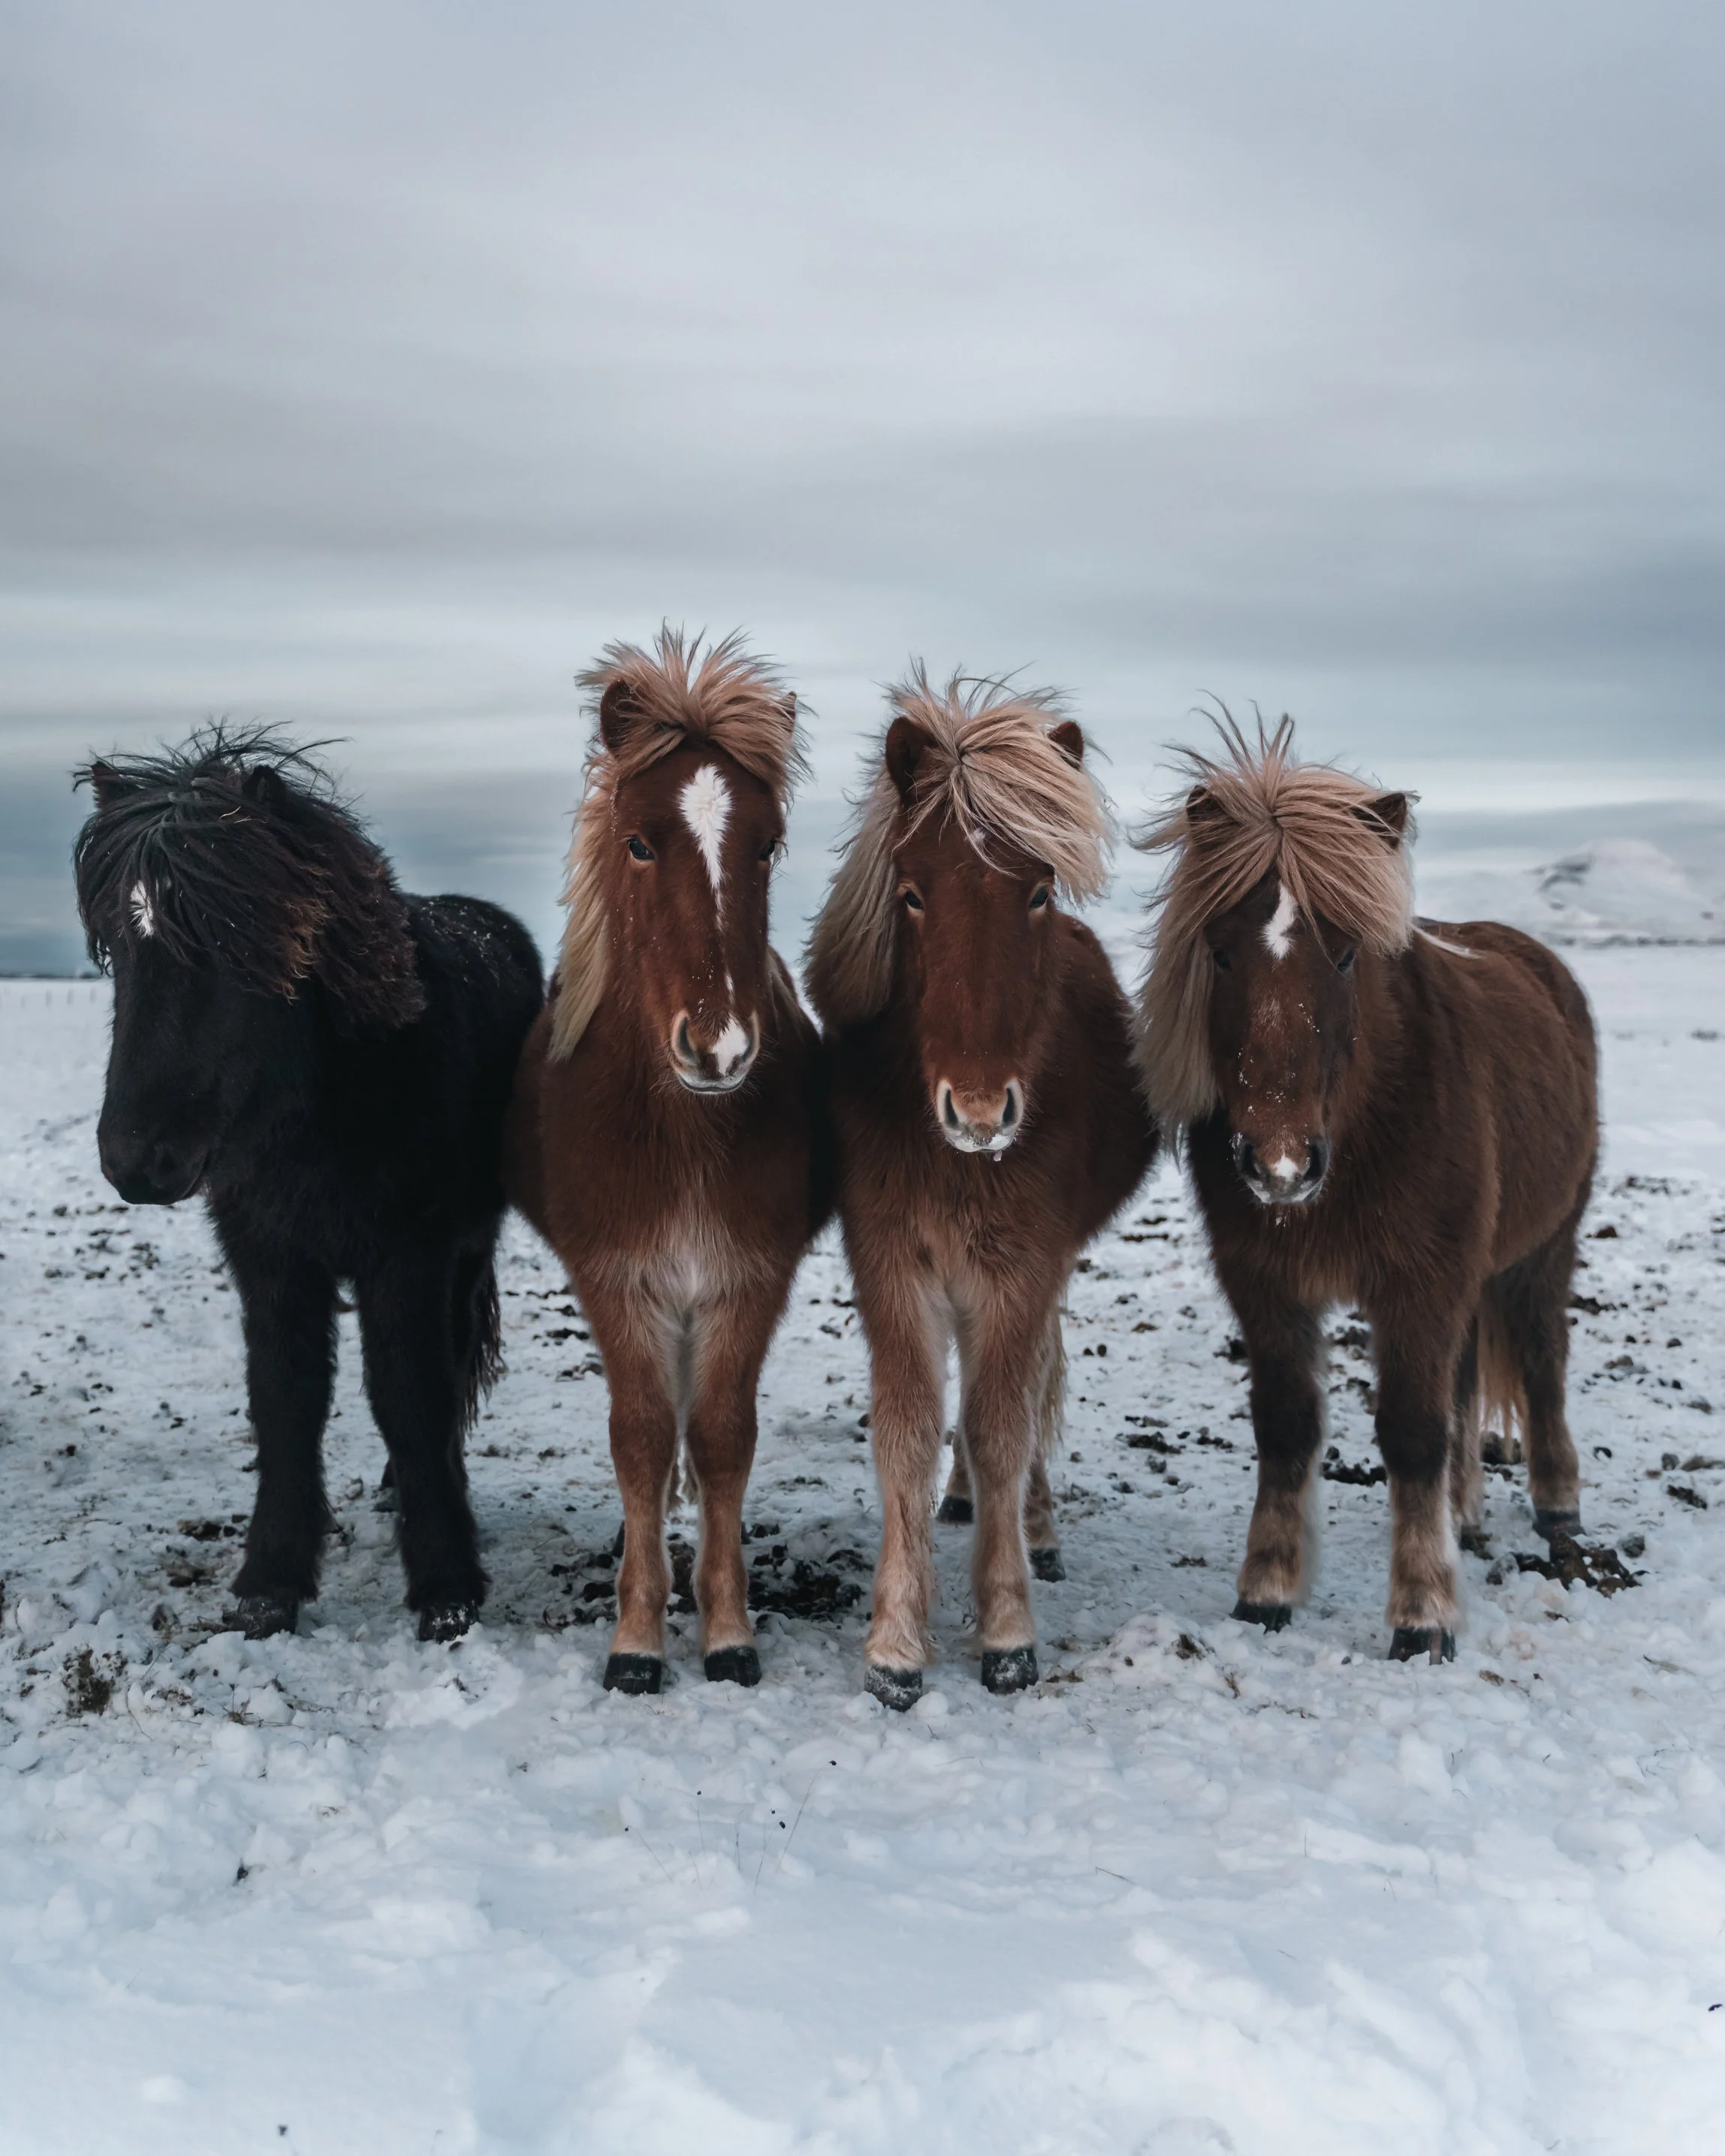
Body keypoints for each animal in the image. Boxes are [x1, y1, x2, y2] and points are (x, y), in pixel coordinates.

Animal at [73, 728, 543, 1642]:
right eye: (117, 943)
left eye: (234, 939)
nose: (137, 1160)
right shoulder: (270, 1260)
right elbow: (286, 1398)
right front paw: (270, 1581)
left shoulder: (409, 1259)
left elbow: (410, 1394)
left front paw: (446, 1584)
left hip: (467, 1252)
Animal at [506, 630, 830, 1695]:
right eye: (640, 842)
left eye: (766, 844)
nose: (718, 1048)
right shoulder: (621, 1284)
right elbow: (642, 1441)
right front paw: (637, 1640)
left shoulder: (743, 1281)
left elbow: (722, 1440)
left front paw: (726, 1631)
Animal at [807, 669, 1158, 1709]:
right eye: (911, 895)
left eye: (1036, 890)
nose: (975, 1109)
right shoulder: (891, 1264)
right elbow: (909, 1433)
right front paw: (894, 1642)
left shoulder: (1020, 1269)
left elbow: (1004, 1426)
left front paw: (1005, 1628)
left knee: (1038, 1381)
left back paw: (1033, 1529)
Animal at [1136, 715, 1598, 1662]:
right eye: (1220, 952)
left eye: (1345, 953)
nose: (1277, 1164)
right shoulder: (1266, 1284)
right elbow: (1286, 1425)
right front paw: (1267, 1591)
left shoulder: (1419, 1283)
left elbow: (1411, 1434)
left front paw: (1421, 1615)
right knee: (1465, 1387)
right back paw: (1466, 1518)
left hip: (1539, 1250)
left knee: (1540, 1363)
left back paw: (1555, 1509)